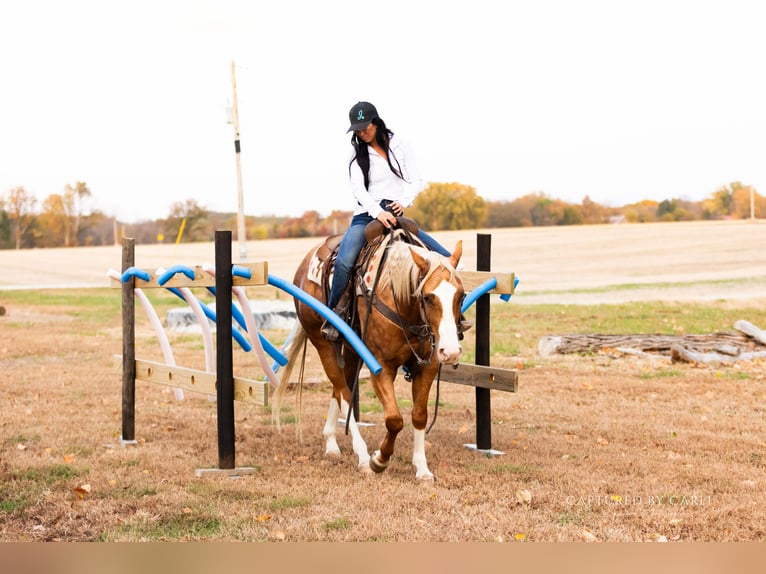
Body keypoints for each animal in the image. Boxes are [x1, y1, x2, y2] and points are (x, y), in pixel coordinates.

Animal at [275, 227, 466, 482]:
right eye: (427, 297)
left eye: (461, 295)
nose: (451, 352)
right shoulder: (381, 367)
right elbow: (394, 420)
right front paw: (380, 459)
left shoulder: (427, 367)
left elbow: (419, 416)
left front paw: (422, 469)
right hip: (323, 343)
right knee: (343, 390)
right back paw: (363, 457)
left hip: (351, 350)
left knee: (340, 387)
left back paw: (331, 442)